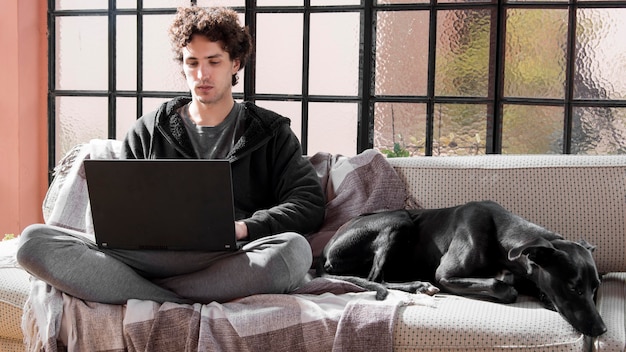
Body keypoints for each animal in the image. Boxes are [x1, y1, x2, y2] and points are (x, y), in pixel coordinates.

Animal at [320, 199, 604, 336]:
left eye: (595, 288)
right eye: (574, 288)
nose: (602, 330)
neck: (502, 235)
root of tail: (326, 250)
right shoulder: (446, 275)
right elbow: (503, 287)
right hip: (398, 219)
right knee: (378, 278)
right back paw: (420, 285)